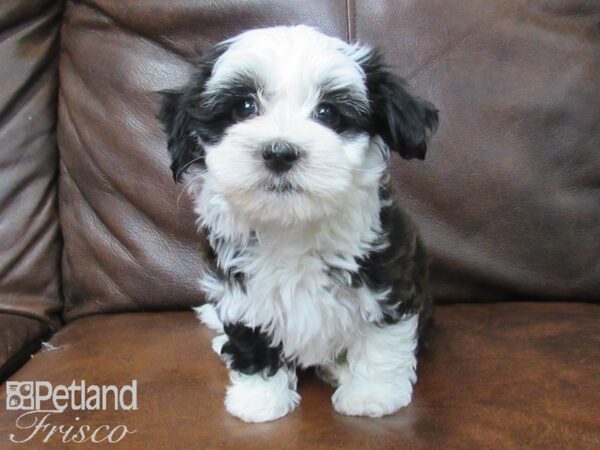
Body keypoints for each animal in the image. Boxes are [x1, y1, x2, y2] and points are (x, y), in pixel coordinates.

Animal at [159, 26, 438, 424]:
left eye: (327, 112)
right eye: (244, 107)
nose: (279, 152)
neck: (291, 223)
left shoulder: (389, 278)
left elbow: (382, 339)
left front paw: (372, 394)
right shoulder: (240, 289)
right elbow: (250, 337)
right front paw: (259, 400)